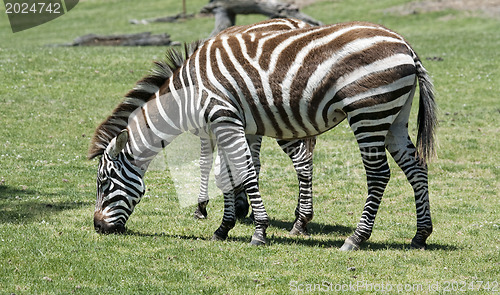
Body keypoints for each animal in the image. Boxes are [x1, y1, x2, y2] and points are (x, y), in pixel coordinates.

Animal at [90, 18, 438, 251]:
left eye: (104, 183)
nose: (97, 226)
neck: (189, 92)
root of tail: (407, 47)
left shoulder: (223, 118)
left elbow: (244, 173)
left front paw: (258, 231)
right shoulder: (227, 124)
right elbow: (227, 176)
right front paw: (224, 228)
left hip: (368, 112)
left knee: (378, 174)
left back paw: (356, 238)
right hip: (394, 116)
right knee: (417, 167)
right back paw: (420, 235)